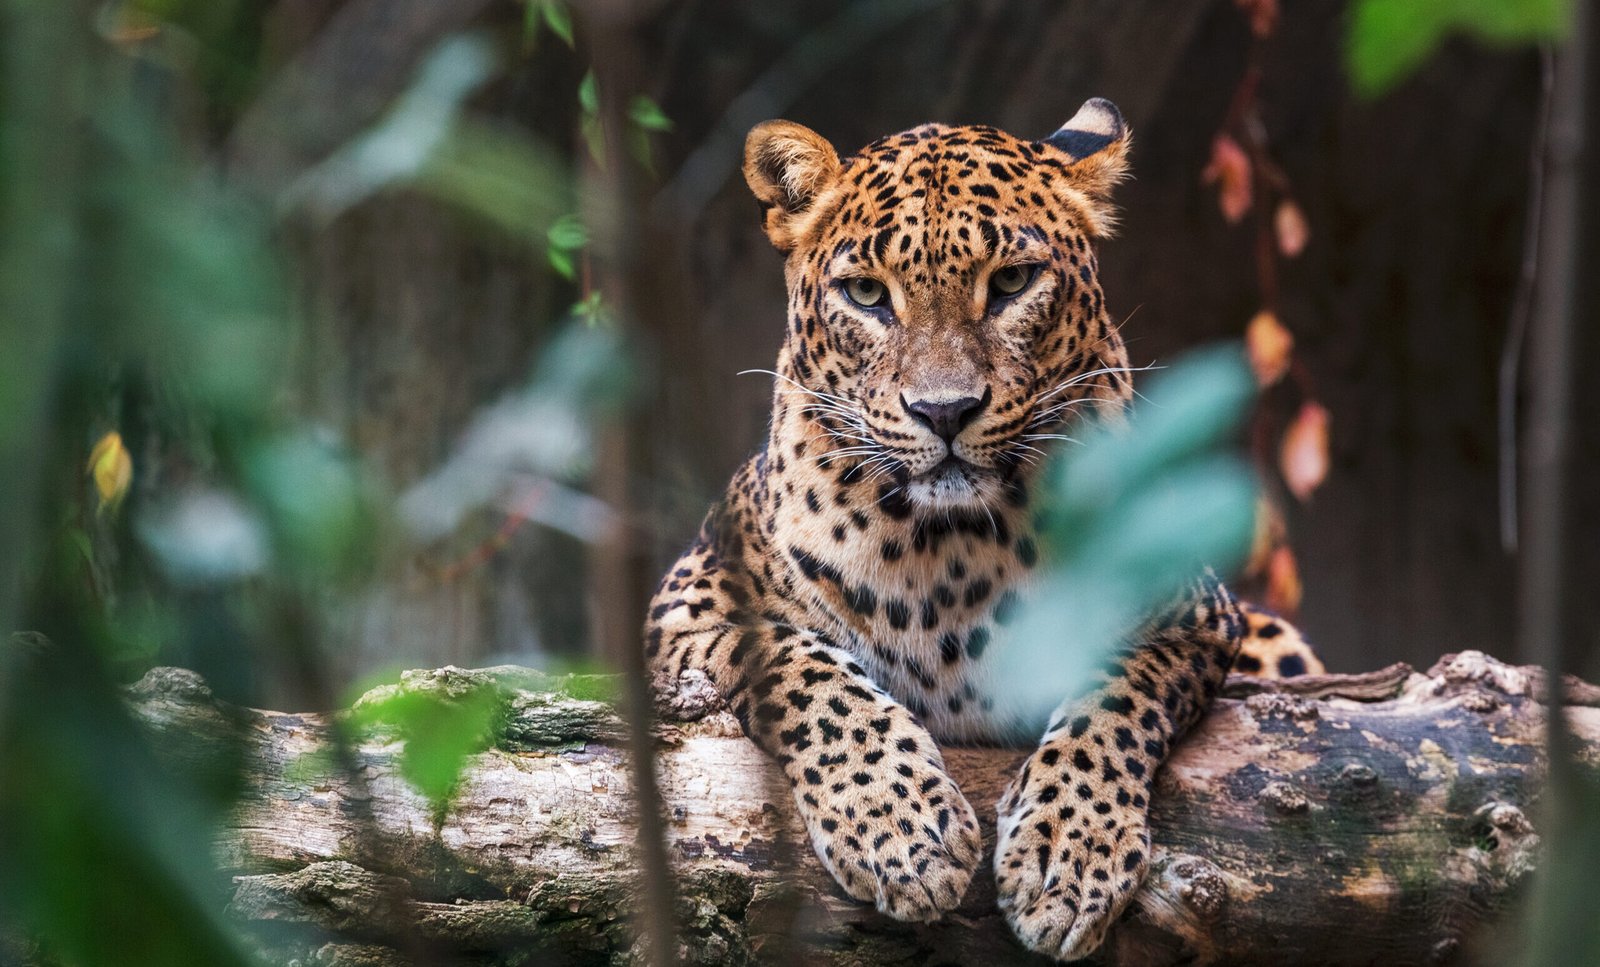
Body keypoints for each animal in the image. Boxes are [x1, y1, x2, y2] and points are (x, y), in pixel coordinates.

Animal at [646, 98, 1257, 961]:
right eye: (867, 293)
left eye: (1012, 282)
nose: (944, 411)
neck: (952, 547)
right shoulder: (685, 610)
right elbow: (808, 671)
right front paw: (903, 832)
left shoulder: (1195, 614)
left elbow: (1114, 696)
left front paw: (1068, 856)